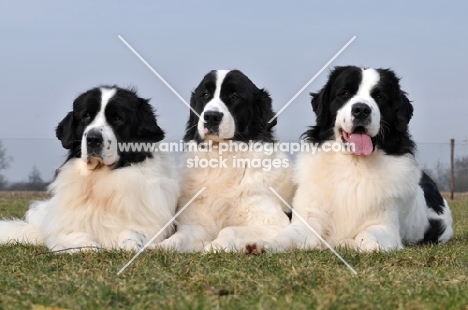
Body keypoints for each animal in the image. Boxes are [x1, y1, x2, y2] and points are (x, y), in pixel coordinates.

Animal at [0, 85, 179, 252]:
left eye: (117, 118)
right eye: (86, 116)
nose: (93, 139)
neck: (99, 177)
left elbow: (134, 232)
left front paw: (130, 244)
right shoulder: (63, 225)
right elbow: (75, 235)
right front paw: (88, 246)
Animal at [159, 70, 294, 252]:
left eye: (235, 96)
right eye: (205, 95)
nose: (211, 116)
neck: (222, 160)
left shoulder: (275, 223)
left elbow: (228, 229)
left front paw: (213, 246)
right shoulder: (197, 224)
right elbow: (180, 237)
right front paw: (161, 246)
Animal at [245, 66, 454, 253]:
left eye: (379, 97)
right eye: (344, 93)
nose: (361, 109)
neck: (352, 164)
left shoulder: (384, 225)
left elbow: (367, 236)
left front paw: (358, 244)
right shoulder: (308, 221)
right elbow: (287, 236)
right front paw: (263, 244)